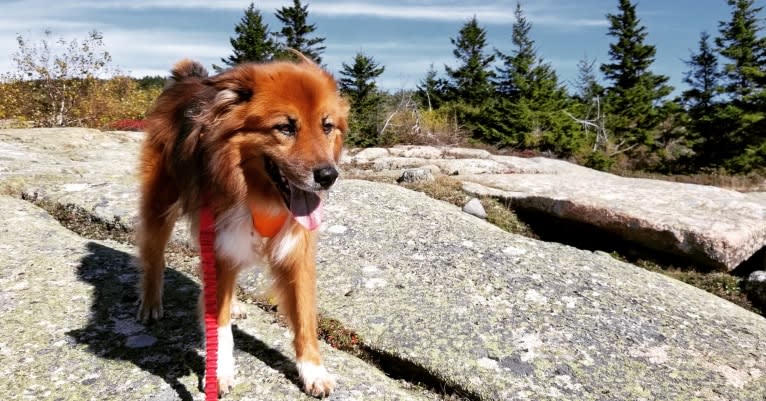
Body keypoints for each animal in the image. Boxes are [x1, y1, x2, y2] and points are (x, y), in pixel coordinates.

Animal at [137, 54, 348, 396]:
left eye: (326, 126)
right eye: (285, 127)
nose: (329, 176)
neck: (257, 191)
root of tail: (187, 80)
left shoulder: (296, 252)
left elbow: (304, 316)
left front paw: (313, 370)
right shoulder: (221, 242)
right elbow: (219, 323)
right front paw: (220, 372)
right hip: (160, 204)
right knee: (153, 256)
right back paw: (151, 302)